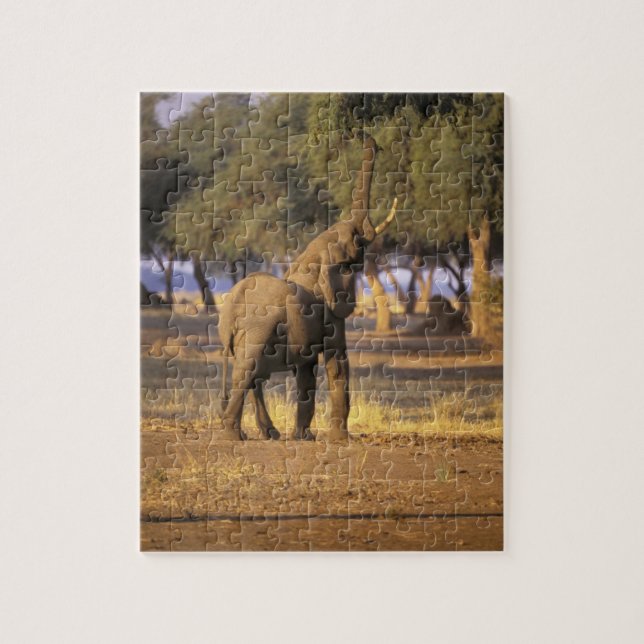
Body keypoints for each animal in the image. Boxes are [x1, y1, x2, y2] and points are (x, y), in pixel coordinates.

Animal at [218, 198, 398, 441]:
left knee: (253, 375)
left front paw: (304, 437)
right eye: (354, 240)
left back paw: (267, 434)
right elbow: (337, 362)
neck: (312, 259)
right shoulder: (330, 315)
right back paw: (233, 436)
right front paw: (341, 440)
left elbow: (306, 372)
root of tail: (237, 296)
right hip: (258, 327)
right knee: (247, 372)